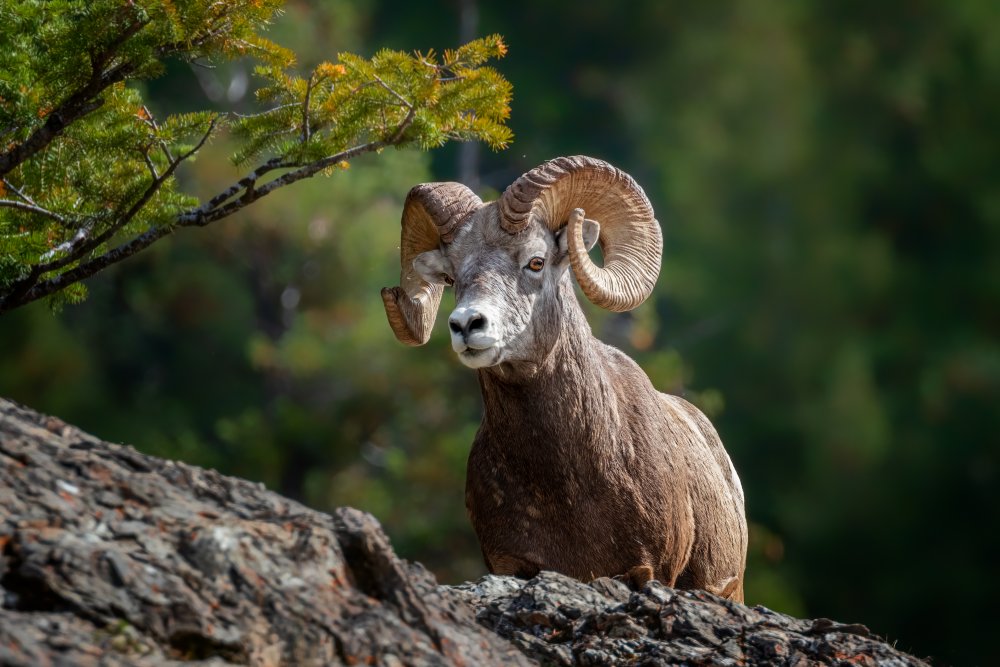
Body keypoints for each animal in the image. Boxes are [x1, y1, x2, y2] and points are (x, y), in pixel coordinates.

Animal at [381, 156, 748, 601]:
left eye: (536, 261)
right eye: (451, 277)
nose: (467, 325)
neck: (567, 483)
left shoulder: (652, 572)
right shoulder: (511, 564)